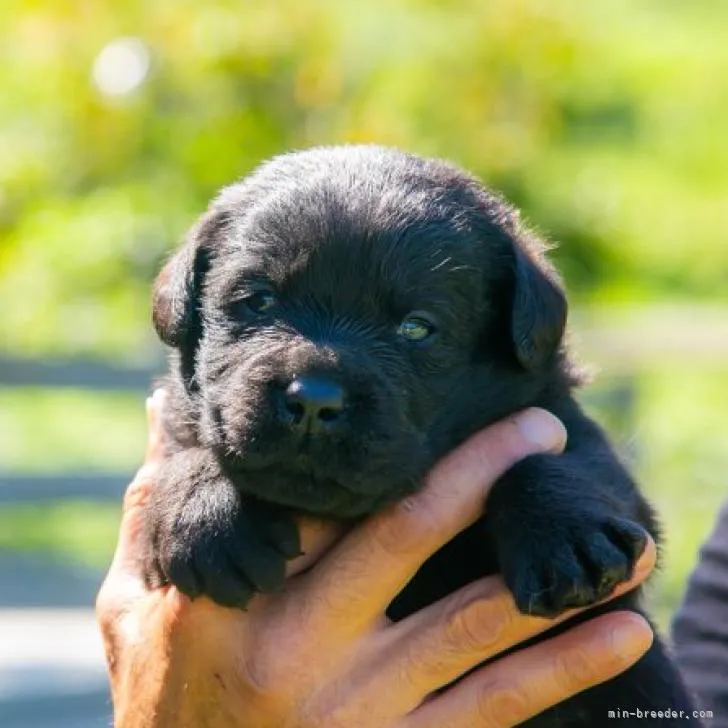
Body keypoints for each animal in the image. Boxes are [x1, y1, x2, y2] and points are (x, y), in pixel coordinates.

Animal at [145, 145, 696, 724]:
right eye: (259, 301)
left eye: (415, 328)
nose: (314, 399)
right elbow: (188, 445)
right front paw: (205, 512)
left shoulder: (603, 488)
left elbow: (560, 460)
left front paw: (564, 530)